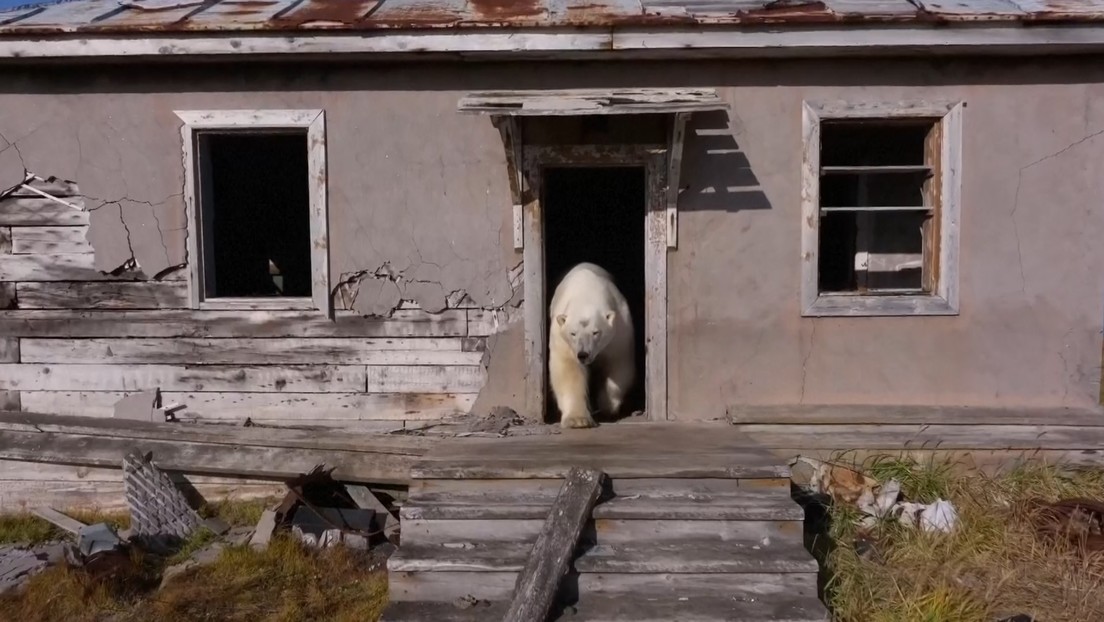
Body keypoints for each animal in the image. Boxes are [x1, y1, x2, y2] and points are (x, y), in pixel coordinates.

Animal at [547, 261, 635, 429]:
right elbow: (569, 369)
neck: (586, 294)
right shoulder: (562, 339)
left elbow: (617, 363)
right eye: (573, 333)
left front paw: (607, 405)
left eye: (596, 332)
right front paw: (577, 420)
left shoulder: (619, 330)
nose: (583, 354)